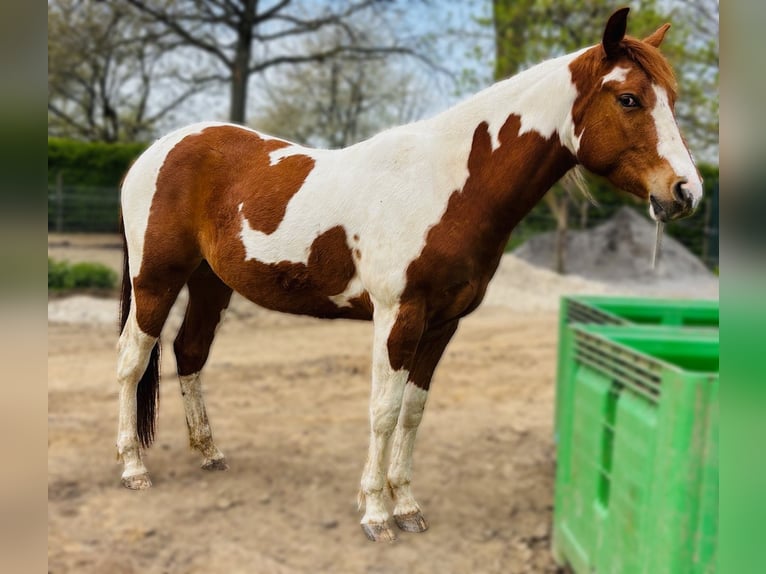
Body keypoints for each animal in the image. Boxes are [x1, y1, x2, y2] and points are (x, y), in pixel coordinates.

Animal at [116, 7, 702, 542]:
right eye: (629, 99)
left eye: (670, 99)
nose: (685, 191)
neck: (449, 186)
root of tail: (157, 151)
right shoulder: (398, 316)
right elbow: (384, 409)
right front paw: (376, 515)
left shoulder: (442, 323)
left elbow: (413, 412)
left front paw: (408, 506)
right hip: (156, 280)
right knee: (131, 361)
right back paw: (132, 468)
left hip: (210, 283)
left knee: (189, 352)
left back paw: (210, 453)